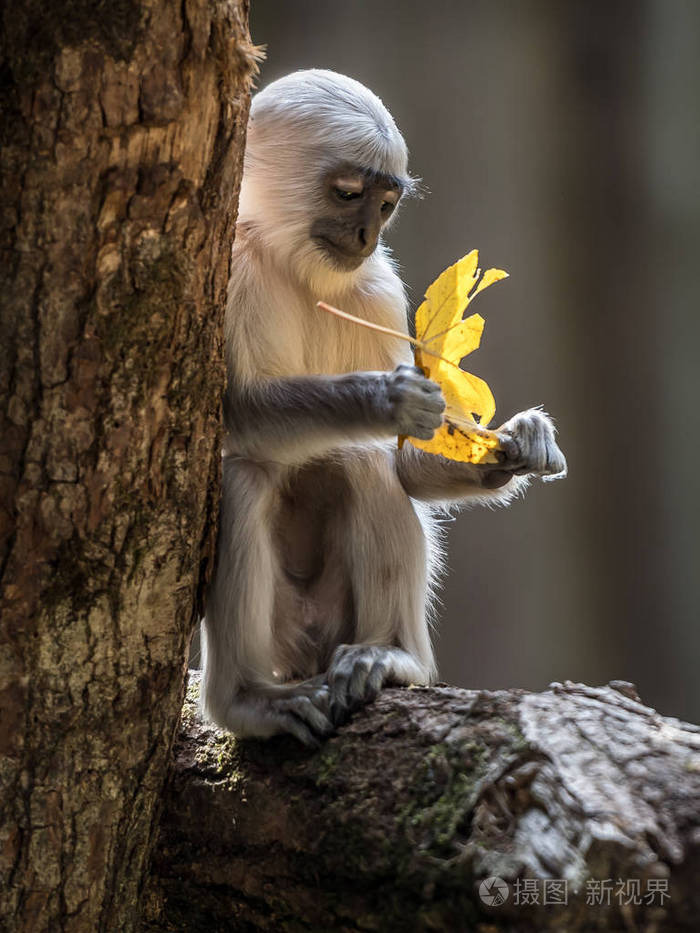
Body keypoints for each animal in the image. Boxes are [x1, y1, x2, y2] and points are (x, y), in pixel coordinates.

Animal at [200, 69, 568, 748]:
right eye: (349, 195)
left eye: (386, 204)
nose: (368, 235)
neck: (298, 274)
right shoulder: (234, 268)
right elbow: (234, 418)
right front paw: (384, 398)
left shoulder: (376, 290)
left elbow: (405, 462)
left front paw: (517, 442)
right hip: (284, 624)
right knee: (247, 476)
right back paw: (247, 700)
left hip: (335, 614)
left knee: (366, 467)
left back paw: (390, 658)